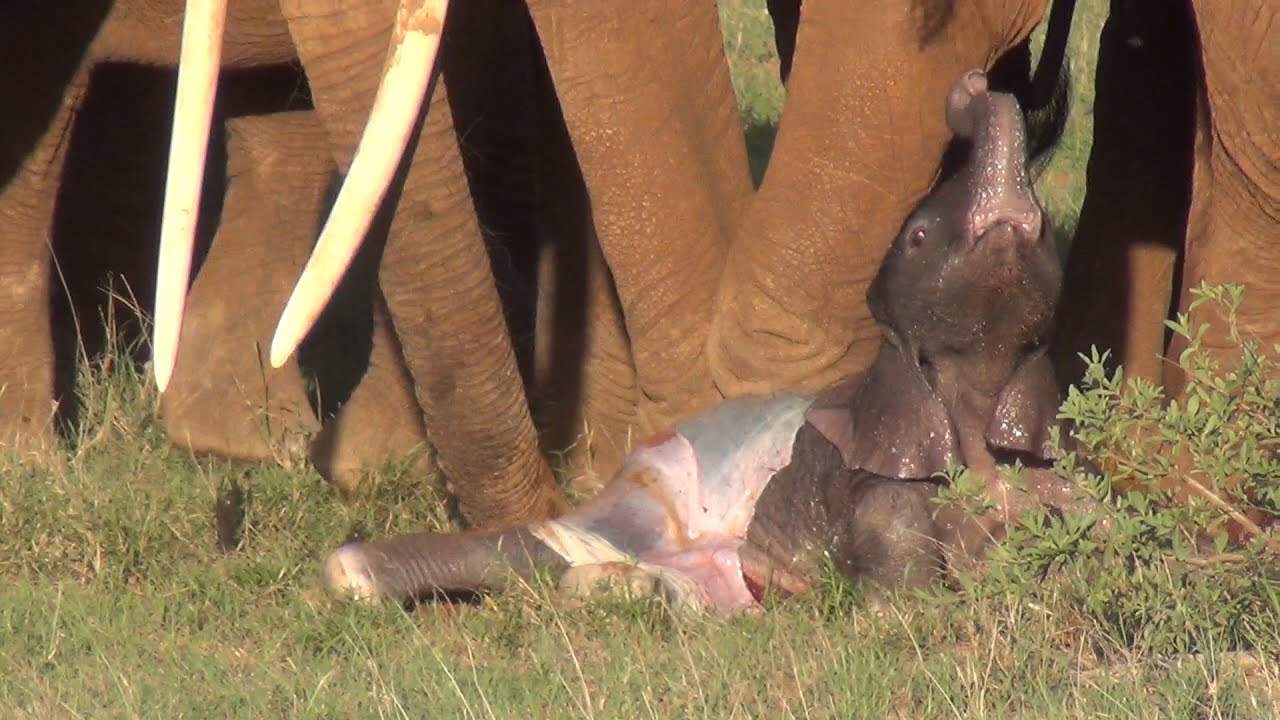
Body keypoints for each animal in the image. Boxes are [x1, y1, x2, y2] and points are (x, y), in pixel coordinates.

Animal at [323, 69, 1081, 611]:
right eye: (920, 236)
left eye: (1044, 226)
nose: (973, 89)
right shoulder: (874, 491)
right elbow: (903, 606)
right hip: (659, 483)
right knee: (565, 547)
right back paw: (354, 572)